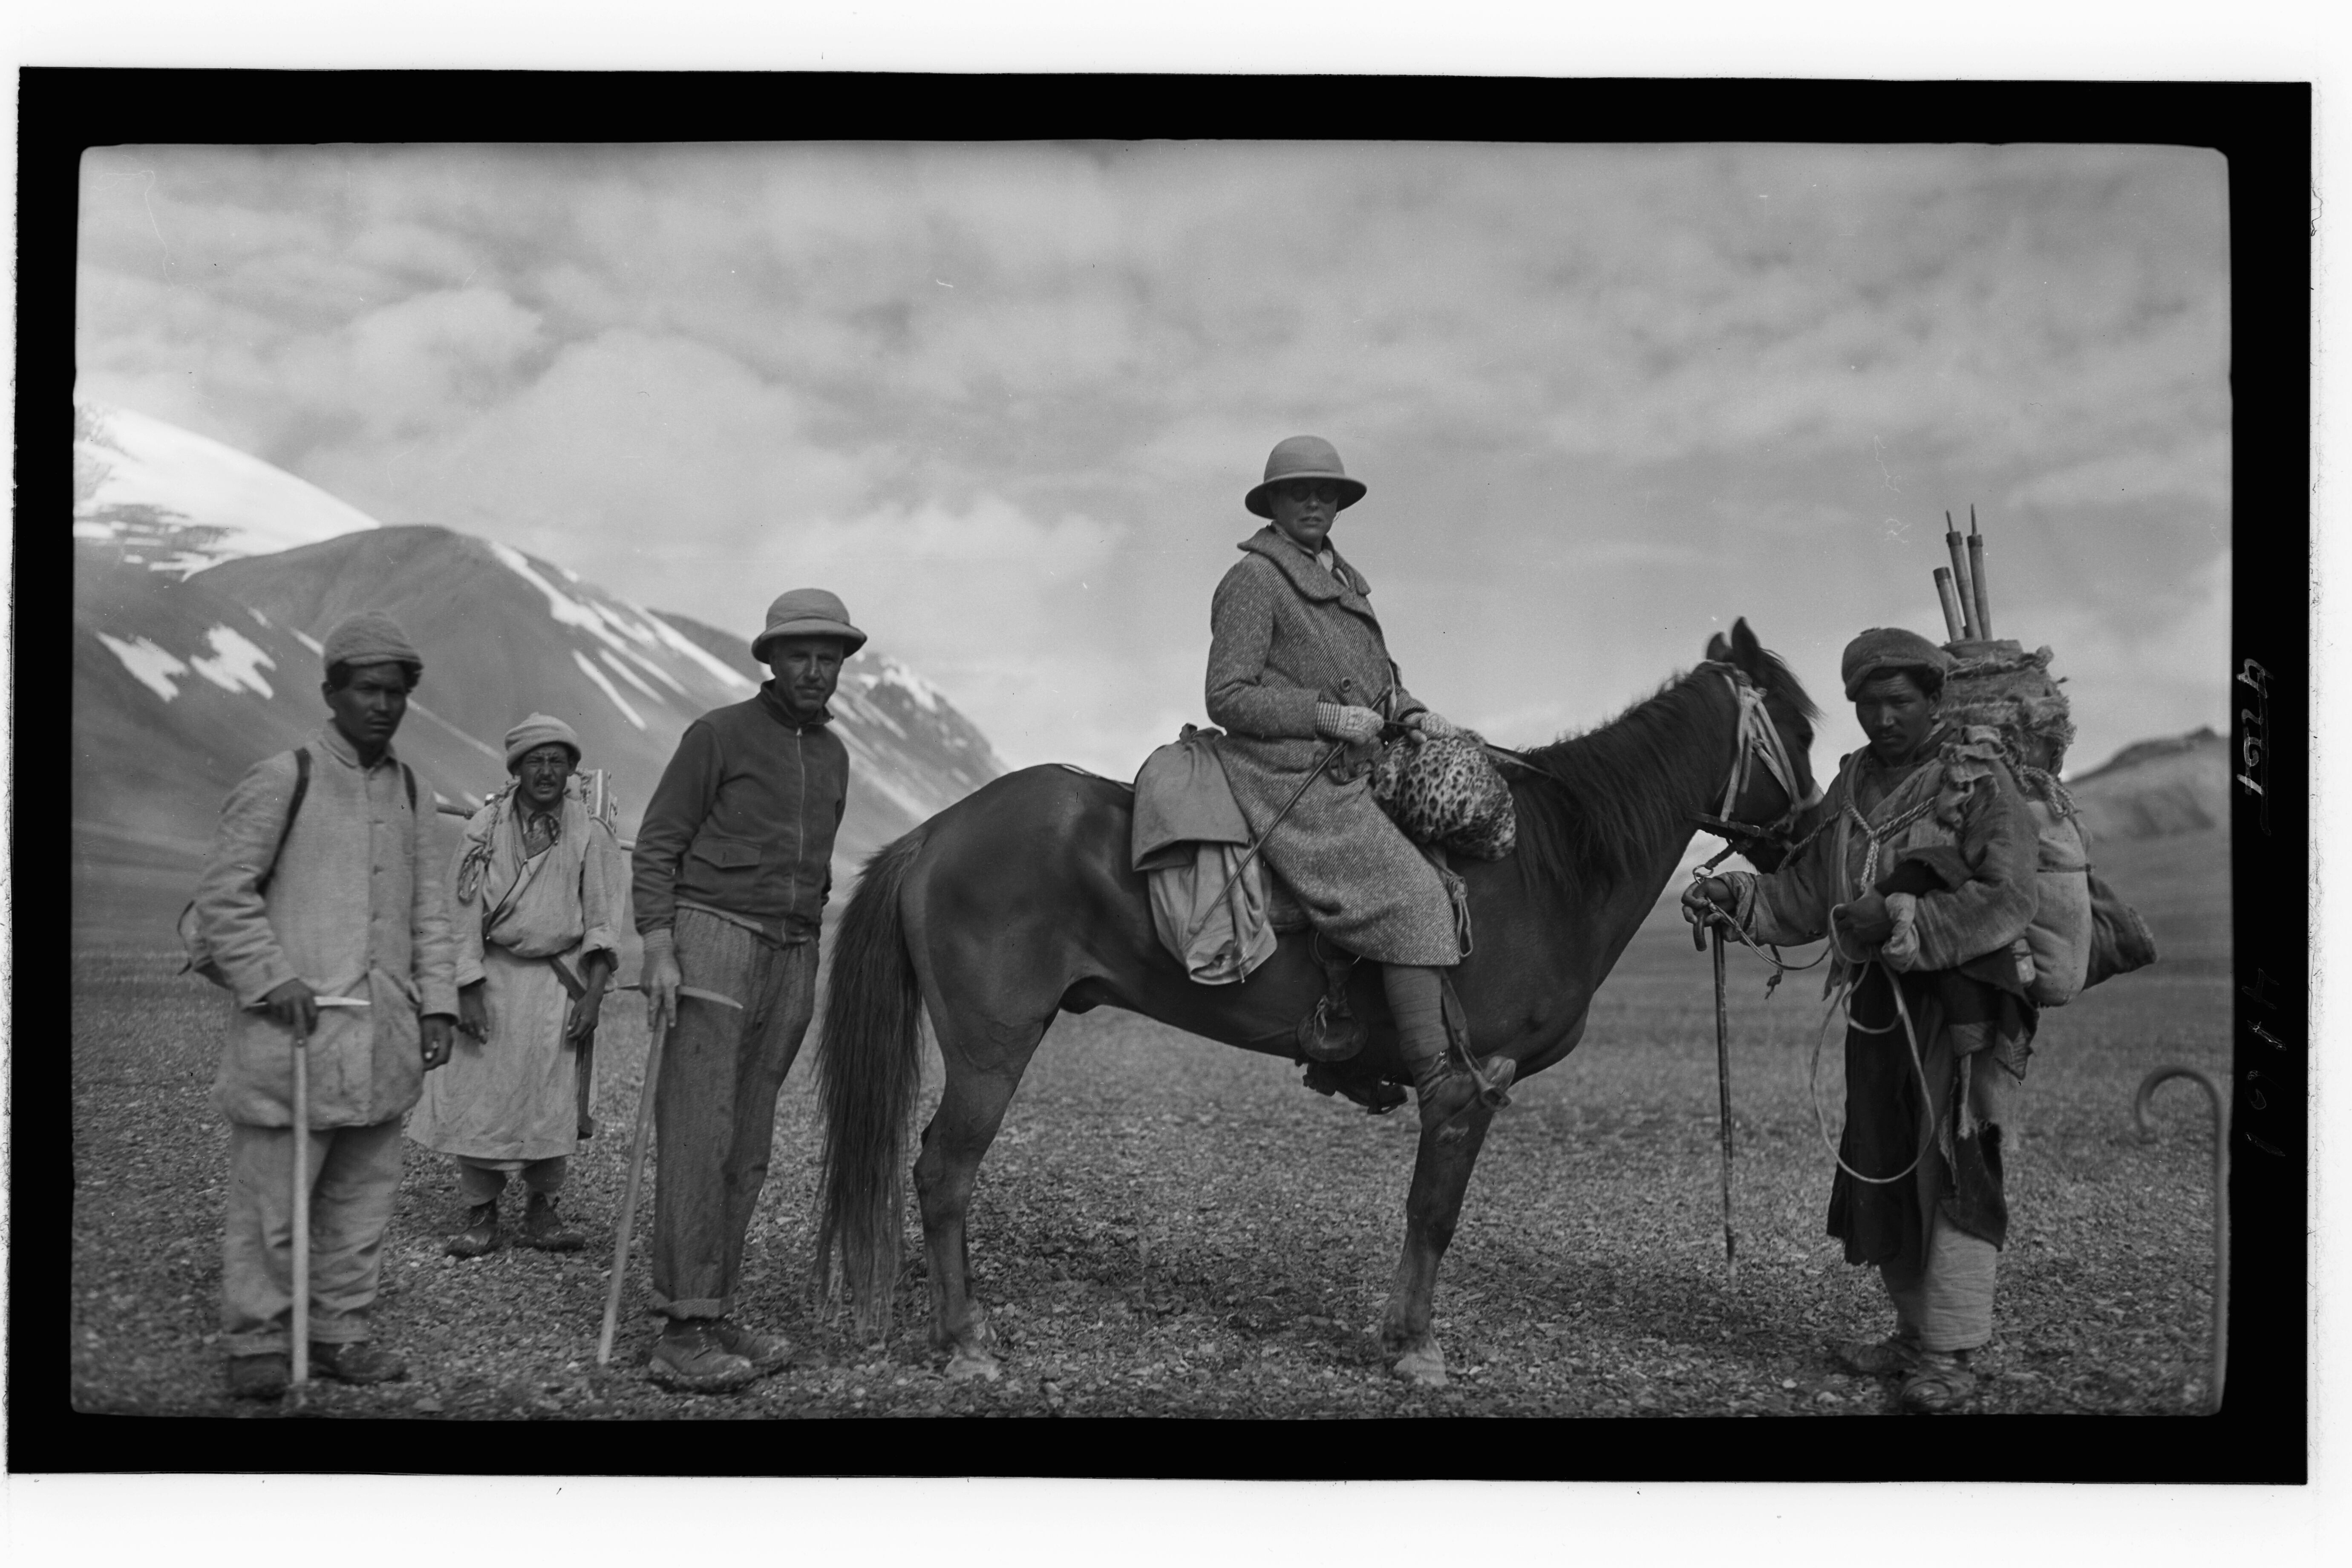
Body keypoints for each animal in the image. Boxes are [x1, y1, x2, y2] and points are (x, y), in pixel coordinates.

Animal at [812, 618, 1820, 1386]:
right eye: (1803, 737)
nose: (1810, 837)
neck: (1550, 866)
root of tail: (935, 830)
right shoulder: (1473, 1082)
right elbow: (1434, 1213)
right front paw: (1414, 1346)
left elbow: (1429, 1214)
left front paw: (1403, 1337)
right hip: (993, 1046)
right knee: (943, 1172)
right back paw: (966, 1343)